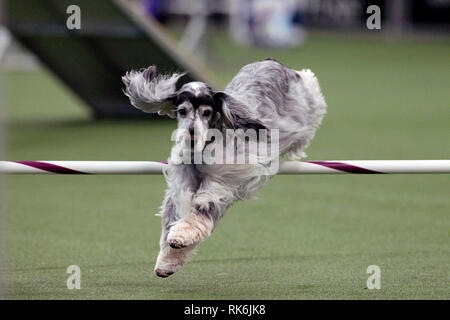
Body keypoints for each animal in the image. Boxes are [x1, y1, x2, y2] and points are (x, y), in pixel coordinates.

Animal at [122, 58, 326, 278]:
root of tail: (271, 61)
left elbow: (200, 213)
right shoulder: (181, 187)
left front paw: (181, 236)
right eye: (182, 111)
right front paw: (167, 262)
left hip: (304, 101)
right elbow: (173, 219)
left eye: (207, 112)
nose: (191, 136)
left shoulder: (223, 182)